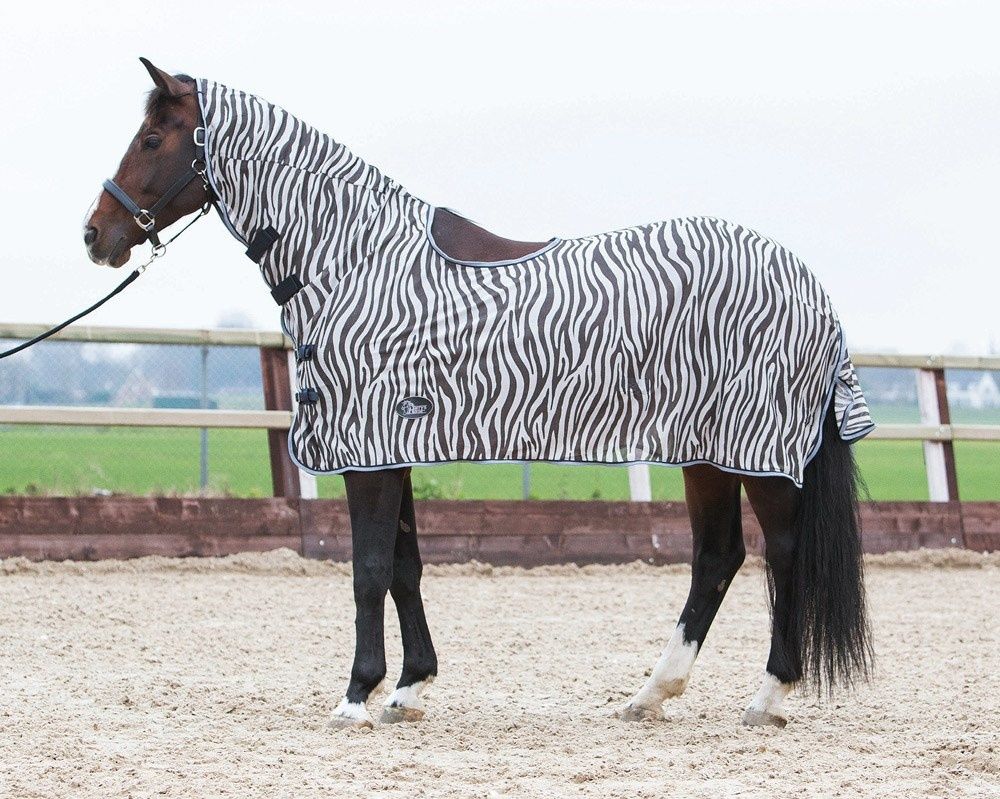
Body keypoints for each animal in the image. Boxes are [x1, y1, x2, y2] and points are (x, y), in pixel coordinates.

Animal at [84, 58, 874, 730]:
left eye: (152, 137)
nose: (96, 234)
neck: (356, 260)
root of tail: (811, 286)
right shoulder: (391, 447)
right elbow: (404, 566)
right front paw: (408, 688)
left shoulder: (368, 449)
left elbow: (368, 570)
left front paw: (355, 696)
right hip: (706, 452)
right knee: (718, 557)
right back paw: (650, 694)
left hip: (756, 451)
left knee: (782, 551)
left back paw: (768, 696)